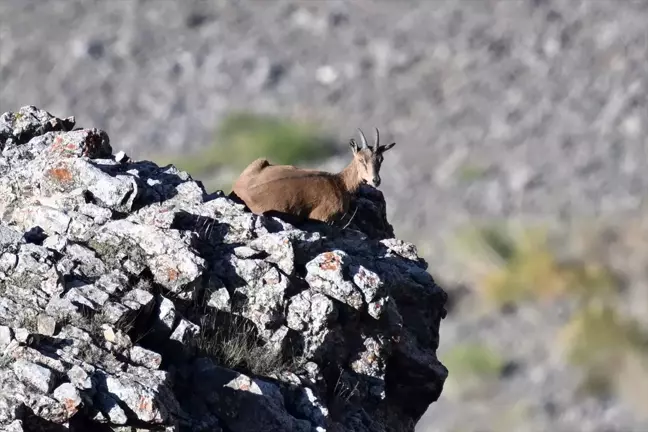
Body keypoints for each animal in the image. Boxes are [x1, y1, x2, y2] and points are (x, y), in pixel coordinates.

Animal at [230, 127, 398, 224]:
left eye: (380, 159)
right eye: (361, 159)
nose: (375, 180)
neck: (340, 183)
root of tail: (238, 189)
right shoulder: (321, 216)